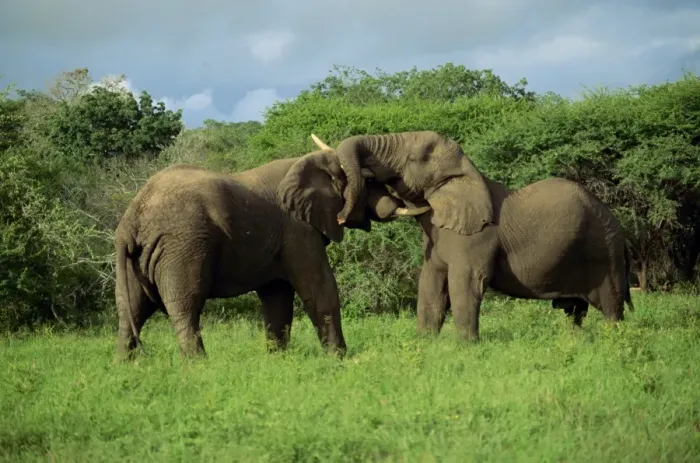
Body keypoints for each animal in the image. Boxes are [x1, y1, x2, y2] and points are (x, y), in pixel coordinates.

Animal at [113, 147, 430, 359]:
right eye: (371, 182)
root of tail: (133, 217)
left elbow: (277, 297)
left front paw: (278, 360)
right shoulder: (298, 229)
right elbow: (319, 290)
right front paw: (339, 359)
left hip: (139, 258)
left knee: (132, 309)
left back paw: (125, 366)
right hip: (182, 245)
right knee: (185, 306)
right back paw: (199, 365)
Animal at [311, 134, 634, 342]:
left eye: (413, 158)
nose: (341, 218)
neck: (464, 173)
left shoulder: (476, 238)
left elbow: (464, 285)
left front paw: (465, 348)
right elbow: (429, 286)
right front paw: (424, 345)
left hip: (605, 251)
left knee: (611, 307)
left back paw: (614, 342)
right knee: (575, 312)